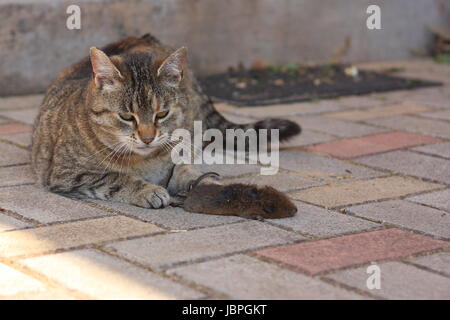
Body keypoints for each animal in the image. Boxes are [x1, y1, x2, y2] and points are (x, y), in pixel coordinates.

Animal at [30, 34, 298, 210]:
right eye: (126, 116)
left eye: (162, 114)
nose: (148, 137)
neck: (146, 161)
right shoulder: (68, 173)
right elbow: (115, 177)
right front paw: (147, 189)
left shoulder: (180, 153)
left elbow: (185, 170)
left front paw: (202, 181)